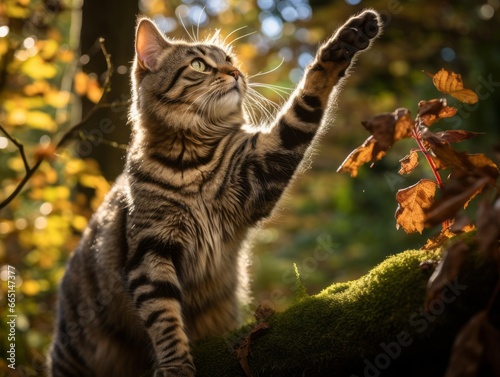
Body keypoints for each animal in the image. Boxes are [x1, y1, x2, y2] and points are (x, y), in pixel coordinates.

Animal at [48, 9, 380, 376]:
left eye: (229, 61)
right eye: (200, 65)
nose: (236, 73)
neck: (191, 161)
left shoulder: (263, 167)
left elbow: (305, 105)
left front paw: (346, 42)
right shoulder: (150, 249)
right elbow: (163, 317)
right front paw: (175, 364)